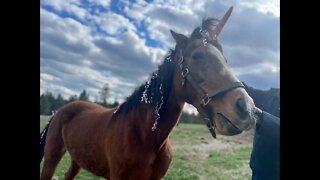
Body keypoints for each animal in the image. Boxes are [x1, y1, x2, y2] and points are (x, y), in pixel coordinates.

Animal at [40, 6, 256, 180]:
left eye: (225, 60)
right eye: (196, 56)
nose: (246, 109)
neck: (146, 137)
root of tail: (60, 111)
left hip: (77, 160)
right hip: (52, 157)